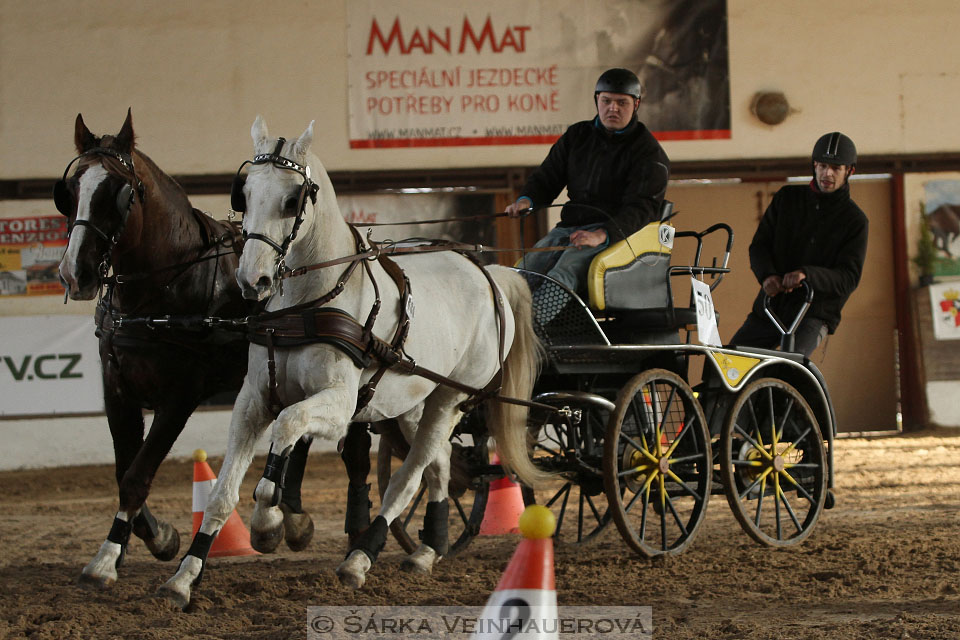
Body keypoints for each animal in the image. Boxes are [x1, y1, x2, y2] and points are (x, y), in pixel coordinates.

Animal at [55, 109, 318, 584]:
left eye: (119, 192)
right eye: (71, 190)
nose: (74, 272)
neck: (160, 290)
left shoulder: (180, 396)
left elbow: (137, 474)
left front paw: (108, 556)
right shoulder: (116, 388)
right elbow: (124, 470)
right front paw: (156, 537)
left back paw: (286, 519)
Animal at [161, 117, 544, 608]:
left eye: (292, 199)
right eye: (242, 193)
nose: (253, 279)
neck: (307, 305)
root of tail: (489, 274)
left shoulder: (340, 405)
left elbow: (285, 432)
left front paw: (269, 524)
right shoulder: (253, 401)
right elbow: (221, 494)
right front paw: (184, 577)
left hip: (452, 398)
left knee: (409, 476)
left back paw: (361, 558)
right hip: (413, 402)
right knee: (439, 464)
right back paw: (426, 550)